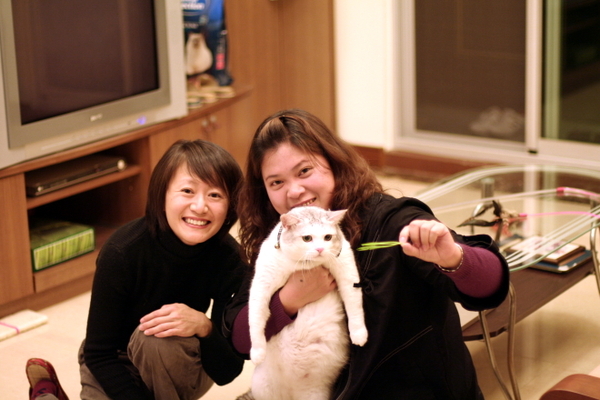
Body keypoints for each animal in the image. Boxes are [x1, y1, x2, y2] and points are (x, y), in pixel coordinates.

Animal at [248, 206, 368, 400]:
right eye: (307, 238)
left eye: (328, 237)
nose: (319, 249)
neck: (305, 264)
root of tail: (290, 393)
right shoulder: (262, 283)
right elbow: (256, 316)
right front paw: (257, 351)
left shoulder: (347, 270)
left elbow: (354, 304)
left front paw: (359, 334)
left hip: (315, 394)